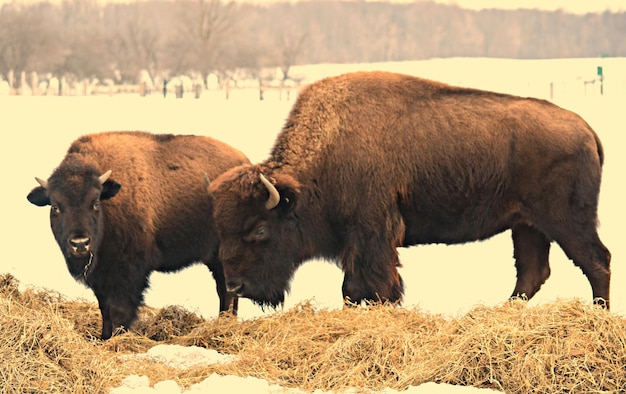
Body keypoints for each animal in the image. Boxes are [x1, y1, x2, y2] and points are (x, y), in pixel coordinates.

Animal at [28, 132, 249, 338]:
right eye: (55, 207)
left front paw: (117, 338)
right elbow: (104, 309)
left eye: (96, 203)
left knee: (226, 290)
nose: (80, 243)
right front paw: (104, 337)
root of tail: (245, 162)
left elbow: (119, 309)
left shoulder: (128, 273)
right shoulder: (101, 276)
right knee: (228, 289)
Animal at [205, 71, 608, 310]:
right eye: (220, 228)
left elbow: (367, 285)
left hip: (567, 221)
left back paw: (598, 314)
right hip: (526, 225)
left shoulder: (372, 233)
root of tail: (587, 129)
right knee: (532, 272)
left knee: (597, 261)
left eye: (259, 229)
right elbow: (356, 286)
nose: (235, 286)